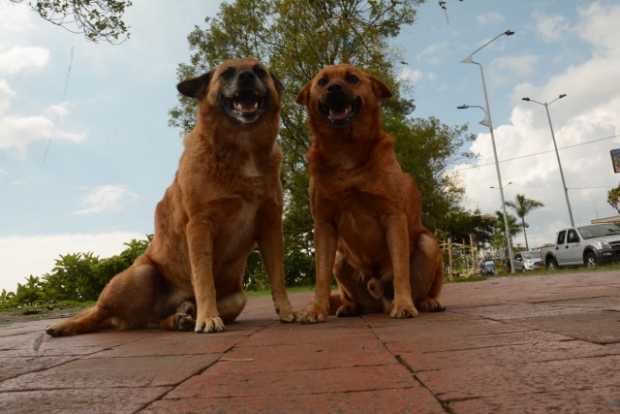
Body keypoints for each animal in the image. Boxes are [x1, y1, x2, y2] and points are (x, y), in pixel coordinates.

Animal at [46, 58, 296, 336]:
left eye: (259, 70)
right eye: (227, 72)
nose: (247, 77)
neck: (243, 148)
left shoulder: (270, 224)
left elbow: (278, 277)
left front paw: (286, 310)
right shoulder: (199, 225)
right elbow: (204, 279)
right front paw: (209, 318)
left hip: (237, 298)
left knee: (158, 320)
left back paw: (181, 317)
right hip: (142, 274)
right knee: (99, 311)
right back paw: (65, 326)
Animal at [296, 65, 446, 324]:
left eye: (352, 78)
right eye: (322, 81)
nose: (334, 88)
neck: (344, 151)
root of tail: (380, 303)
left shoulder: (393, 216)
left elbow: (400, 270)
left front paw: (404, 304)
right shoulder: (324, 223)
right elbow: (321, 277)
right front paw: (316, 309)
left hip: (428, 244)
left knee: (425, 289)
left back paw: (426, 302)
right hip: (339, 259)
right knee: (349, 295)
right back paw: (349, 307)